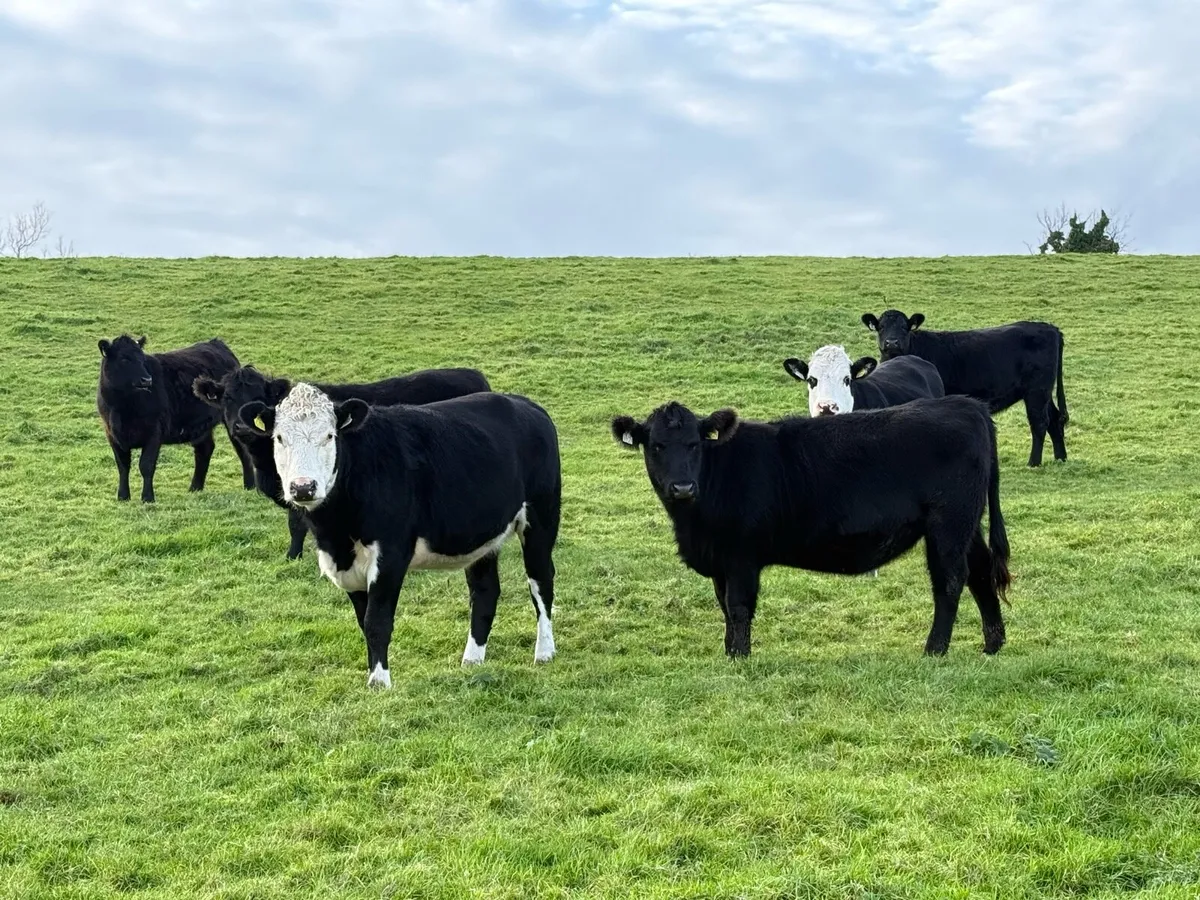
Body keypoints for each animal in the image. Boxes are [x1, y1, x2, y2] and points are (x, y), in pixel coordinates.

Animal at [97, 334, 253, 503]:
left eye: (142, 359)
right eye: (124, 359)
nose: (147, 380)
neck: (121, 408)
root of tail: (217, 343)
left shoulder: (154, 433)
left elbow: (146, 465)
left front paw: (148, 497)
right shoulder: (112, 435)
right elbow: (123, 466)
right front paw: (123, 496)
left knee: (242, 450)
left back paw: (250, 486)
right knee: (204, 450)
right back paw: (195, 488)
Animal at [236, 383, 561, 689]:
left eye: (329, 436)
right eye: (280, 438)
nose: (303, 487)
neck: (337, 533)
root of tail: (524, 404)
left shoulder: (390, 556)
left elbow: (377, 621)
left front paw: (379, 682)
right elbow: (363, 622)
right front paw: (373, 673)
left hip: (541, 520)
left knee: (541, 582)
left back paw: (544, 652)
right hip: (483, 538)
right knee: (485, 592)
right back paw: (472, 659)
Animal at [611, 396, 1010, 659]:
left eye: (694, 444)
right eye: (656, 445)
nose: (682, 487)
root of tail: (966, 405)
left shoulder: (741, 557)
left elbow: (738, 606)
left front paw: (740, 656)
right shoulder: (720, 559)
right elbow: (723, 606)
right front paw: (729, 650)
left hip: (948, 523)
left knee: (950, 581)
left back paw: (934, 650)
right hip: (967, 525)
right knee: (980, 572)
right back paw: (992, 644)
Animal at [861, 310, 1069, 466]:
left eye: (905, 327)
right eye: (881, 327)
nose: (892, 342)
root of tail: (1050, 328)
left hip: (1037, 390)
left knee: (1039, 422)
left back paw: (1033, 462)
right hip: (1042, 392)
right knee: (1054, 419)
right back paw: (1060, 458)